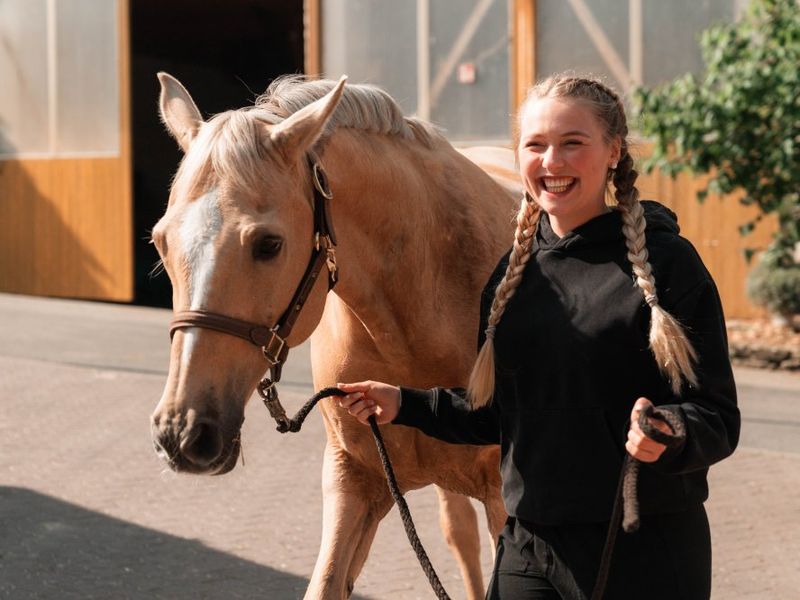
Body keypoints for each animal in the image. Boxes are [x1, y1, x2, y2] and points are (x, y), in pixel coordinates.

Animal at [150, 72, 520, 596]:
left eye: (269, 244)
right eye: (160, 240)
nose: (182, 432)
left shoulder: (503, 500)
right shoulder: (355, 481)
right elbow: (325, 583)